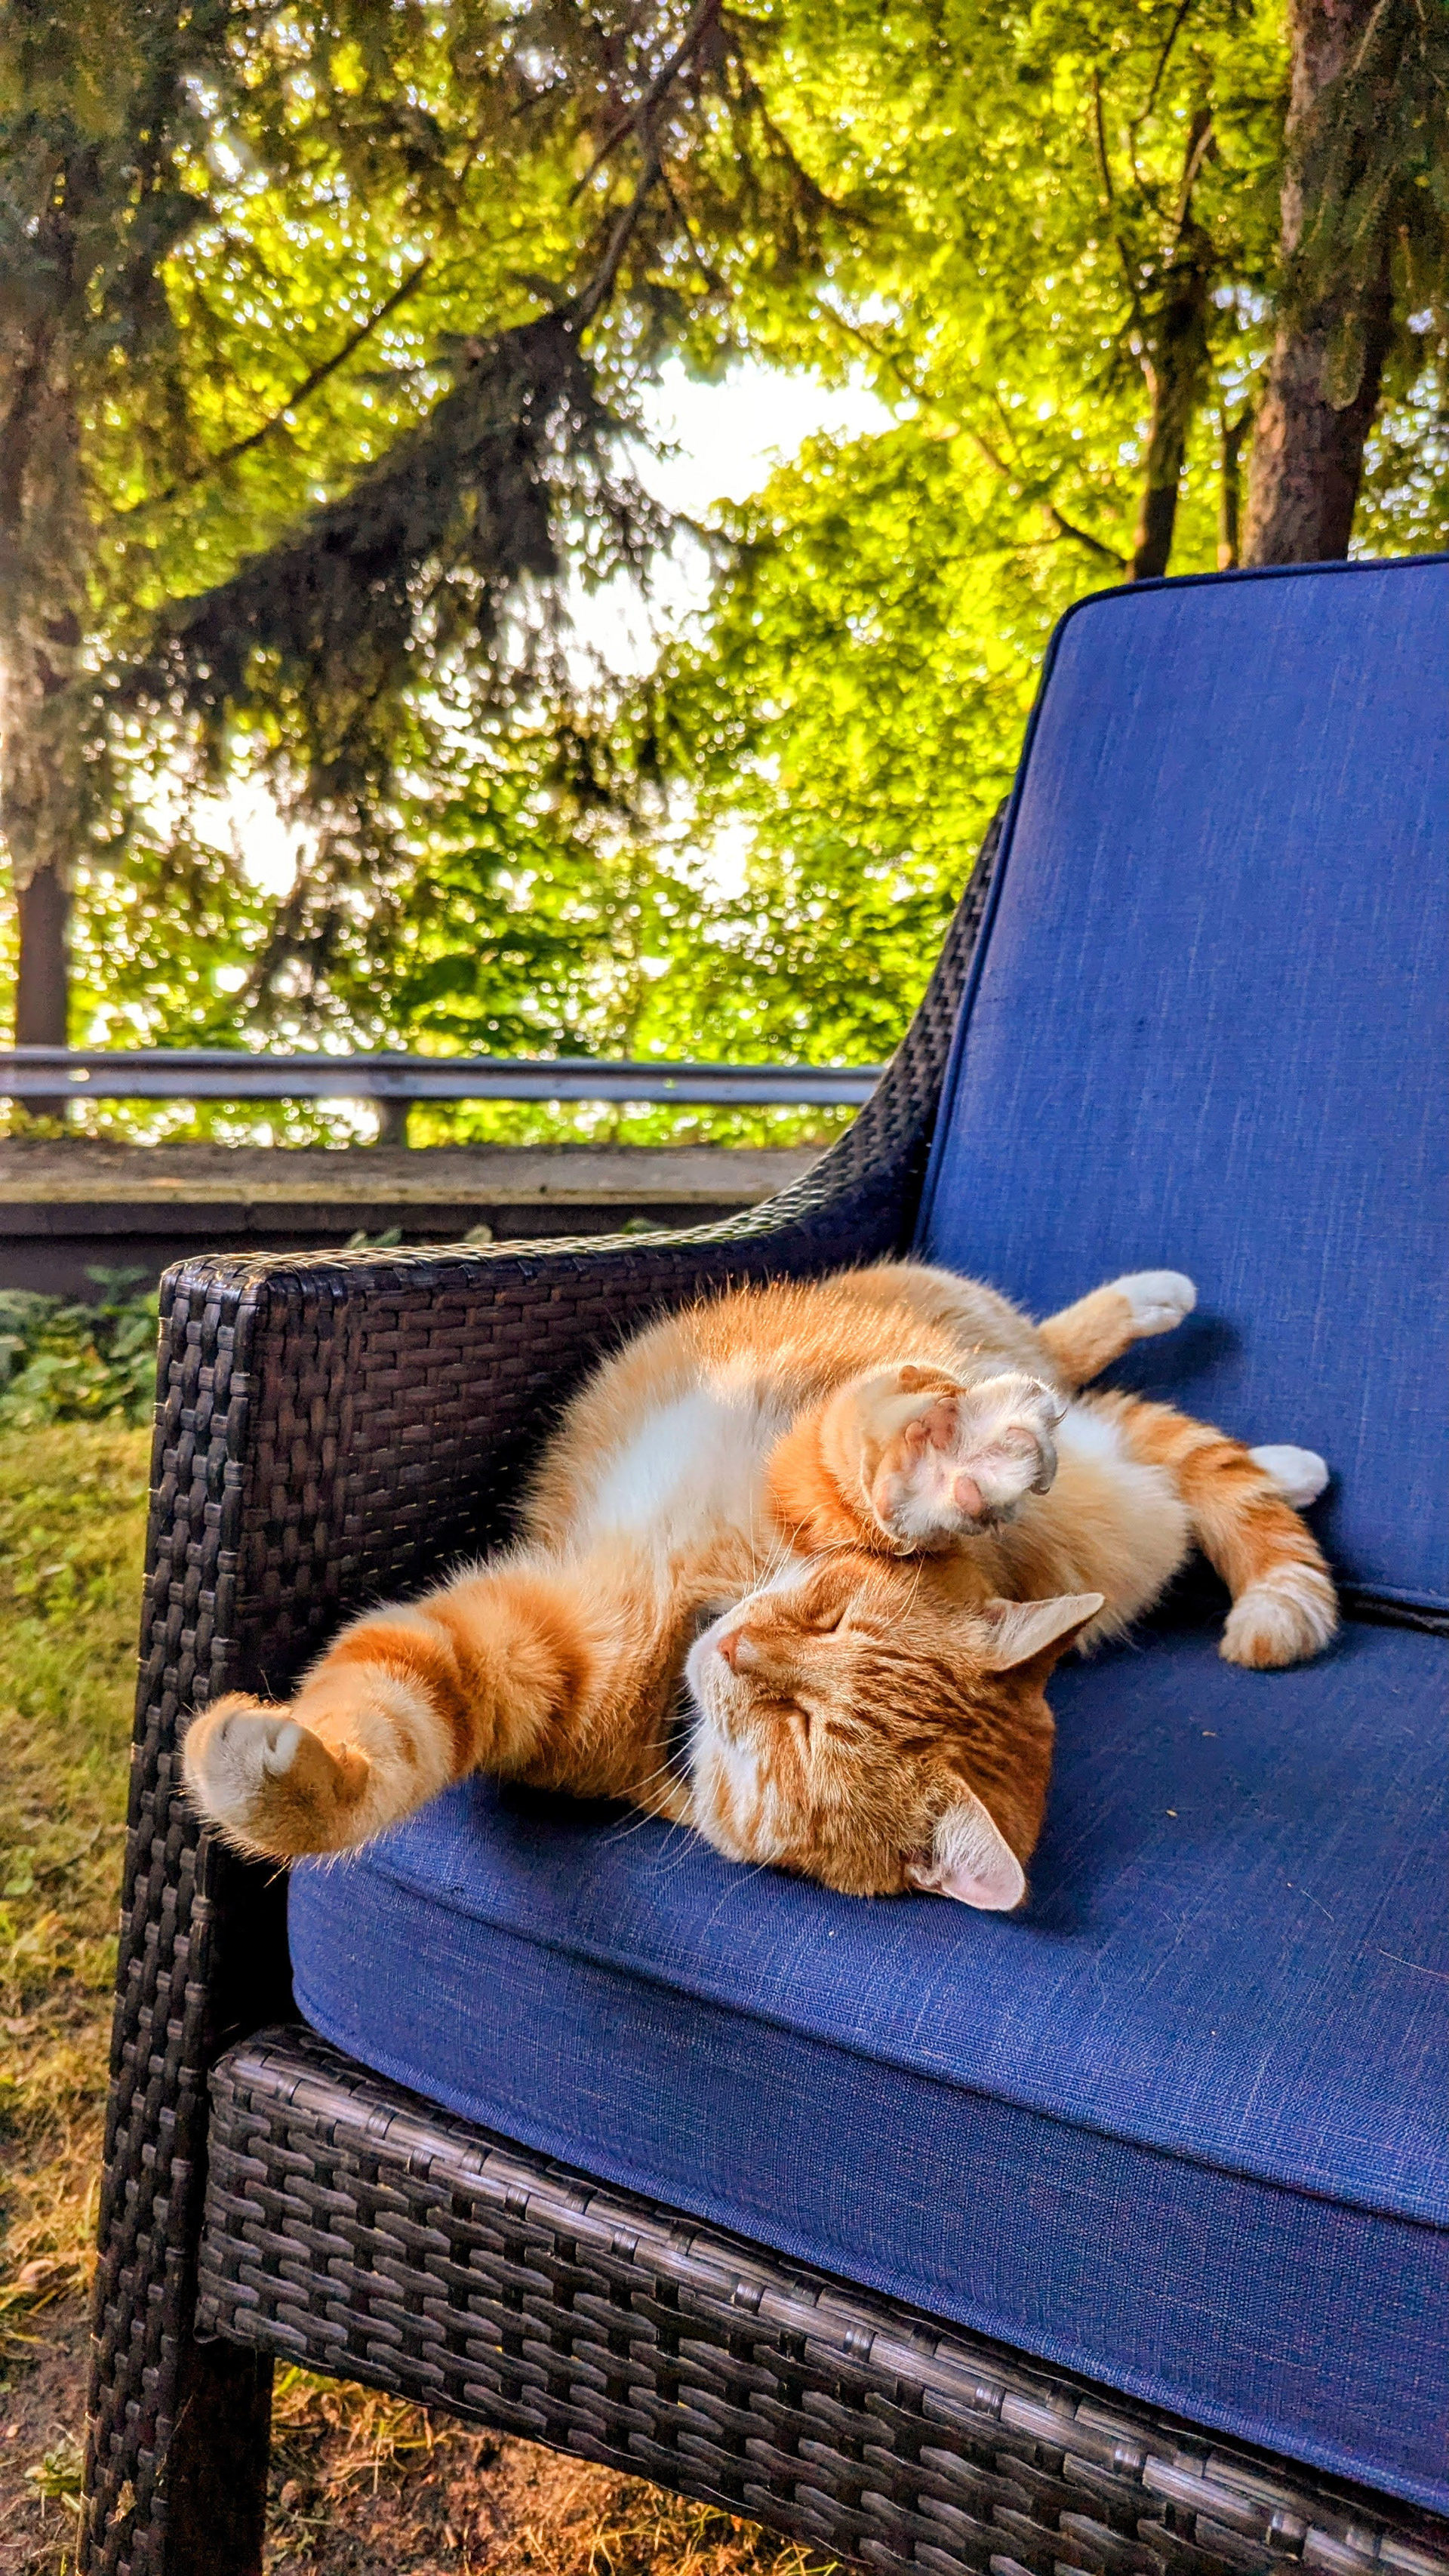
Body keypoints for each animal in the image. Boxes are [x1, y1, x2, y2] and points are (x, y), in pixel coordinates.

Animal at [184, 1260, 1337, 1908]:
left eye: (804, 1733)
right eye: (826, 1613)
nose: (736, 1647)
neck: (690, 1619)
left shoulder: (510, 1655)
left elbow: (401, 1711)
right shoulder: (801, 1462)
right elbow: (858, 1471)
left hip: (1115, 1529)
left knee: (1158, 1465)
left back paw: (1275, 1462)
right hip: (967, 1326)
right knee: (1064, 1364)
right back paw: (1147, 1335)